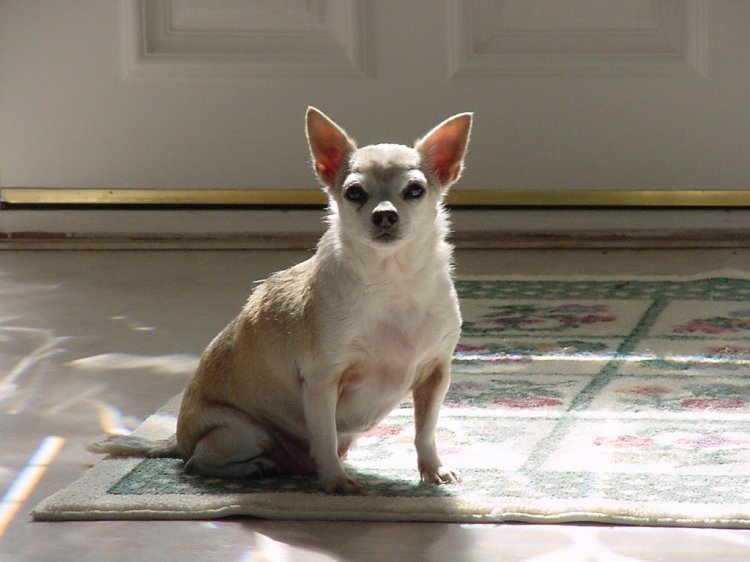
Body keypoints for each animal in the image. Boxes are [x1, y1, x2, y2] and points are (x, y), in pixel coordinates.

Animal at [91, 107, 472, 492]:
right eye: (354, 193)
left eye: (414, 191)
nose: (384, 214)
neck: (394, 279)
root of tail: (178, 439)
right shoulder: (322, 382)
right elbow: (324, 435)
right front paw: (336, 481)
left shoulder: (435, 376)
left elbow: (425, 430)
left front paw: (433, 469)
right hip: (244, 432)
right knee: (196, 463)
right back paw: (254, 468)